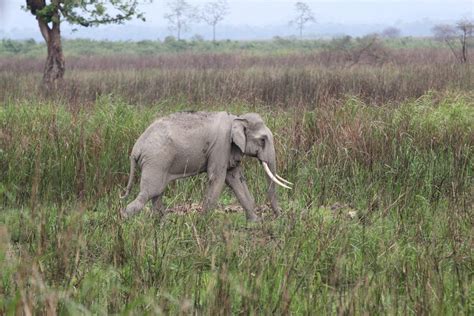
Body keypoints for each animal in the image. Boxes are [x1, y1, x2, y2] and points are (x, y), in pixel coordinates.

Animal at [120, 111, 290, 222]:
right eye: (263, 140)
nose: (278, 216)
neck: (237, 118)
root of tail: (135, 149)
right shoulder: (221, 146)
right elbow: (217, 178)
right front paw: (203, 223)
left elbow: (235, 179)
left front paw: (255, 222)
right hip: (156, 161)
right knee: (149, 192)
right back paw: (125, 220)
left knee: (157, 195)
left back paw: (163, 223)